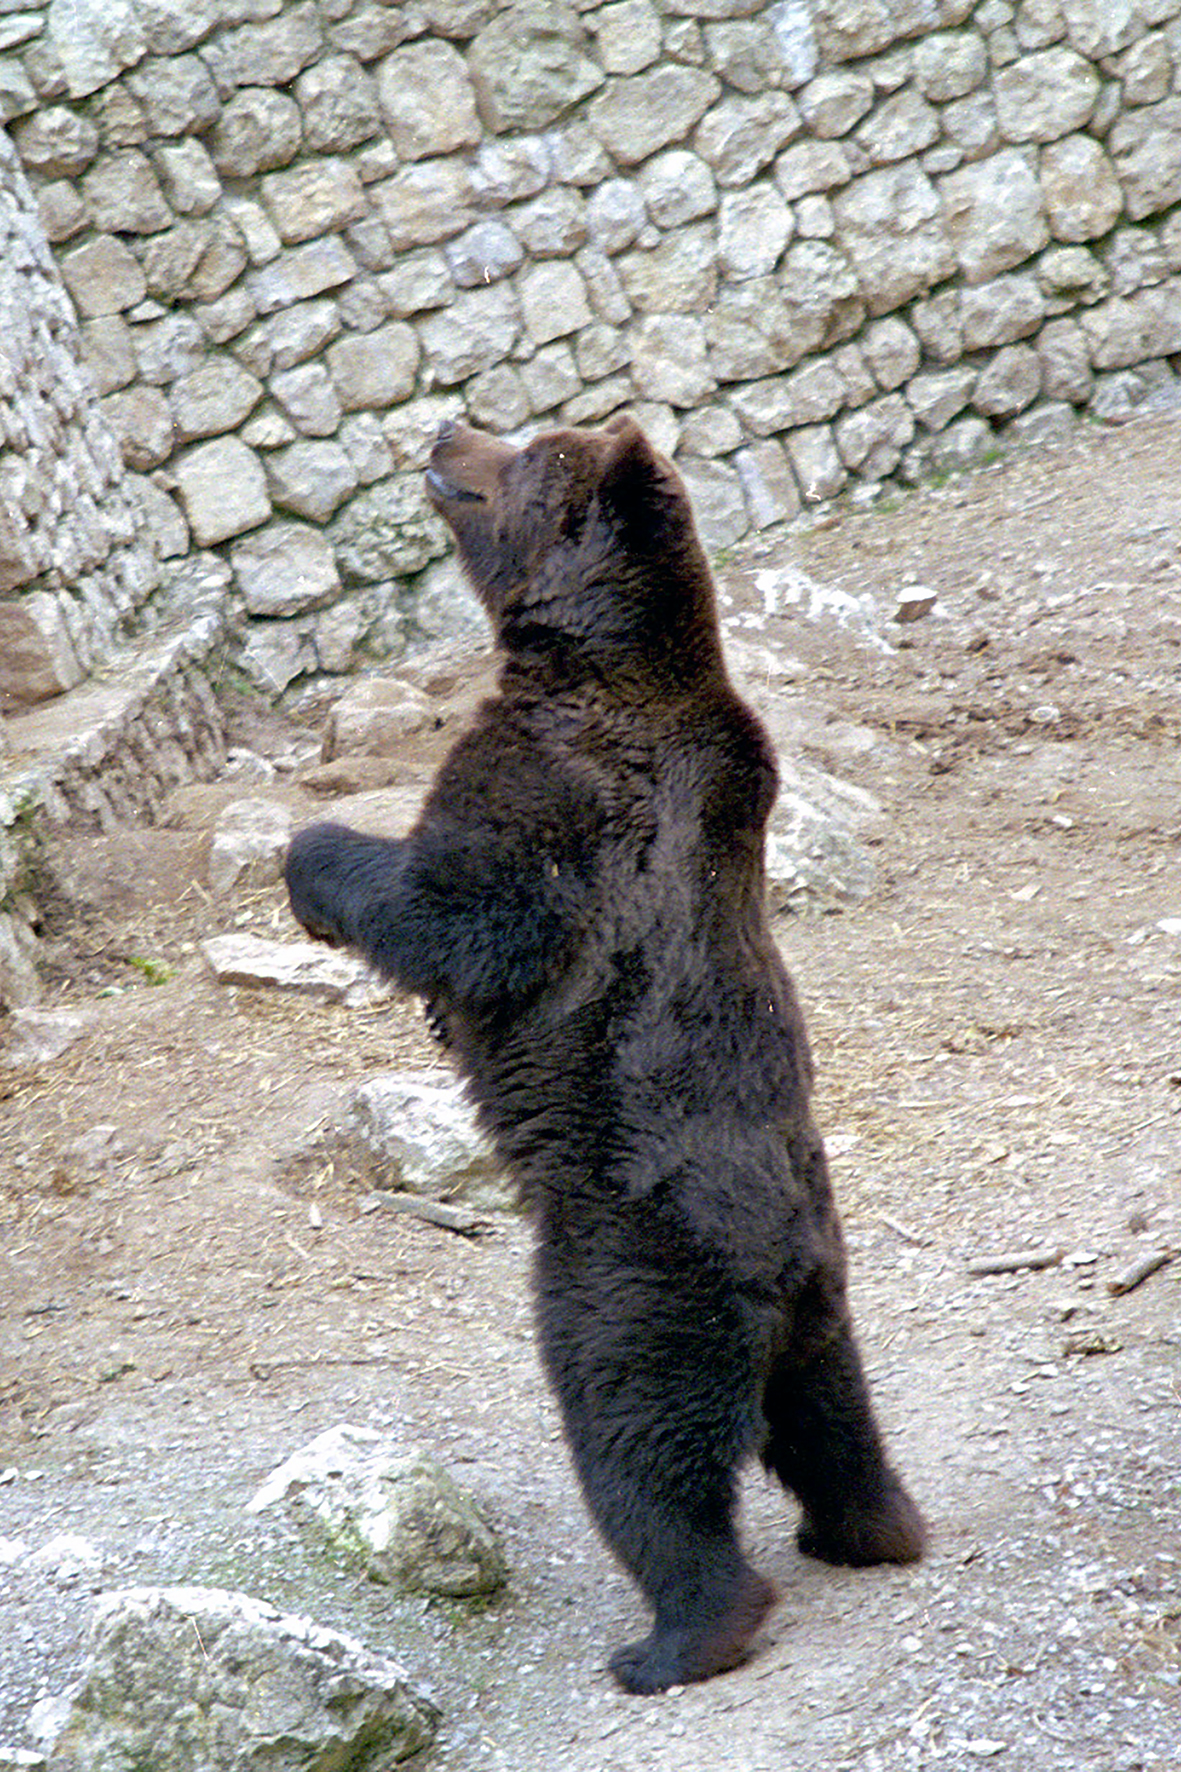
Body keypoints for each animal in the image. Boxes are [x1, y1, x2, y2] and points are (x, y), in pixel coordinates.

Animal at [284, 415, 925, 1694]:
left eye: (524, 453)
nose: (444, 426)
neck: (593, 657)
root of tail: (777, 1274)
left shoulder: (550, 790)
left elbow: (454, 909)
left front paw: (311, 858)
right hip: (825, 1302)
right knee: (834, 1419)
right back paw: (871, 1527)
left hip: (632, 1275)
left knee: (637, 1446)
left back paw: (675, 1636)